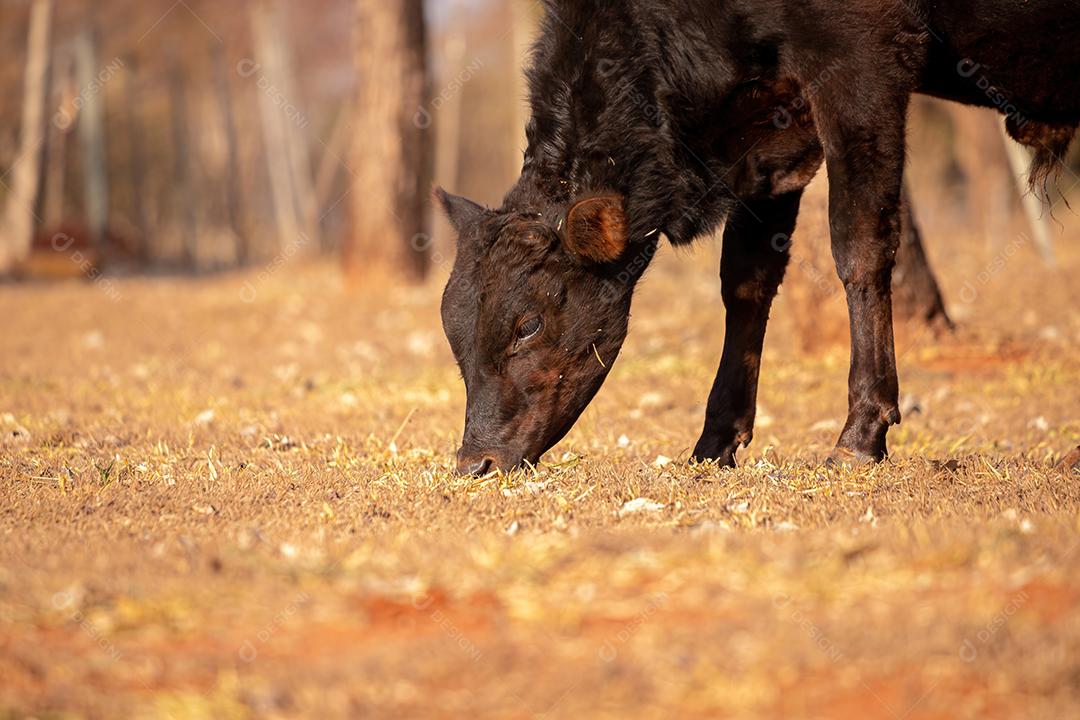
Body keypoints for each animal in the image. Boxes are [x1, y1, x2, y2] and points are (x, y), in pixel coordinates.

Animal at [437, 0, 1080, 475]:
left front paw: (859, 436)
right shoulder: (773, 143)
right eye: (453, 328)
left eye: (528, 325)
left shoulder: (864, 63)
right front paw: (715, 441)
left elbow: (859, 246)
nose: (476, 462)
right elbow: (745, 280)